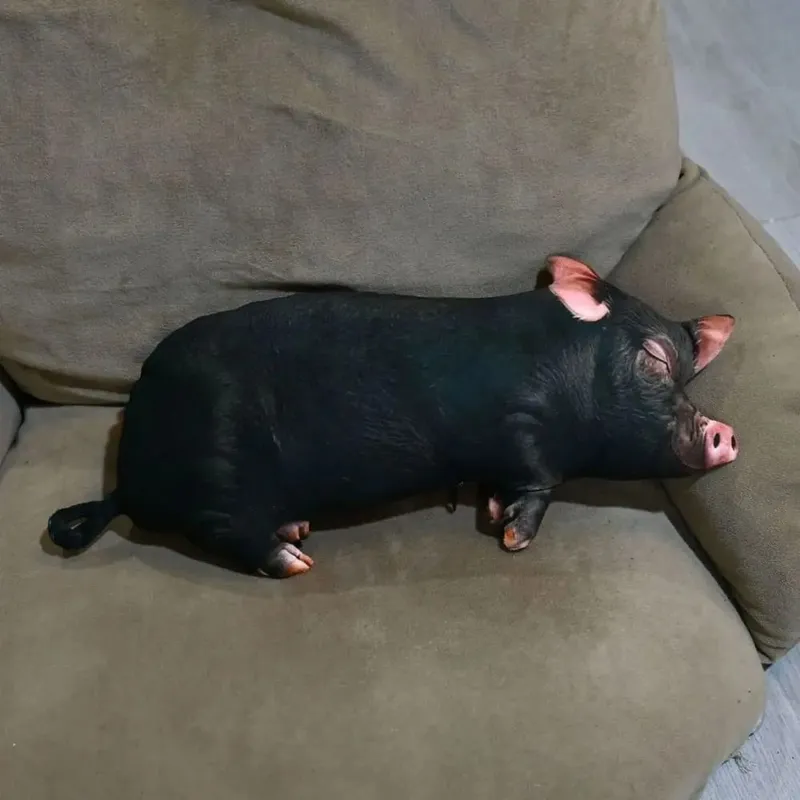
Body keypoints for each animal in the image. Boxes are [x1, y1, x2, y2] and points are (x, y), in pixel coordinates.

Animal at [47, 256, 738, 578]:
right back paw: (296, 559)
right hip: (214, 476)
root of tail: (125, 483)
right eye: (654, 360)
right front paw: (513, 538)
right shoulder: (520, 428)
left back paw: (297, 529)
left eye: (688, 374)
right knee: (222, 530)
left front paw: (493, 513)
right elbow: (539, 483)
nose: (727, 432)